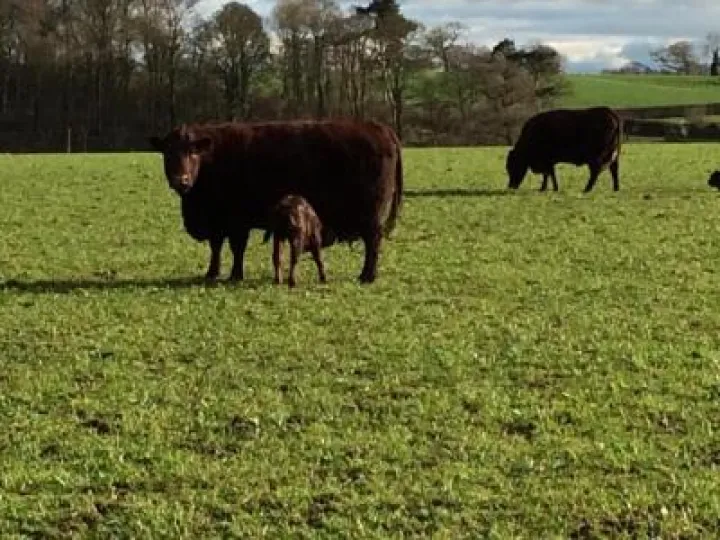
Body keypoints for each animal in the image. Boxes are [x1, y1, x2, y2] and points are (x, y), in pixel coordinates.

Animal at [148, 119, 403, 284]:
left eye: (192, 152)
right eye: (168, 153)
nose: (181, 180)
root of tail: (378, 127)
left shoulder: (236, 220)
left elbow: (236, 247)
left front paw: (235, 275)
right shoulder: (218, 220)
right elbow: (217, 246)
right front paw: (212, 272)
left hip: (370, 216)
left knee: (373, 242)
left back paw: (367, 276)